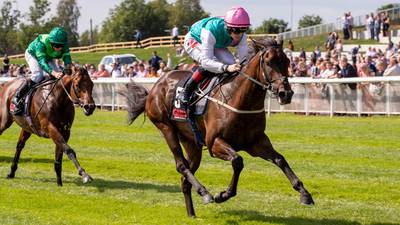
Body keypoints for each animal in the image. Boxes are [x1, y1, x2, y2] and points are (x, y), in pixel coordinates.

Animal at [124, 38, 312, 216]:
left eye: (287, 61)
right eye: (268, 61)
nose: (286, 94)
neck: (239, 98)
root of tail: (154, 87)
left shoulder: (256, 142)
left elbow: (280, 159)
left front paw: (305, 194)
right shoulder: (214, 142)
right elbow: (237, 161)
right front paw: (223, 195)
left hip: (191, 142)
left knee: (185, 178)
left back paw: (192, 214)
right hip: (165, 127)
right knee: (181, 166)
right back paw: (205, 193)